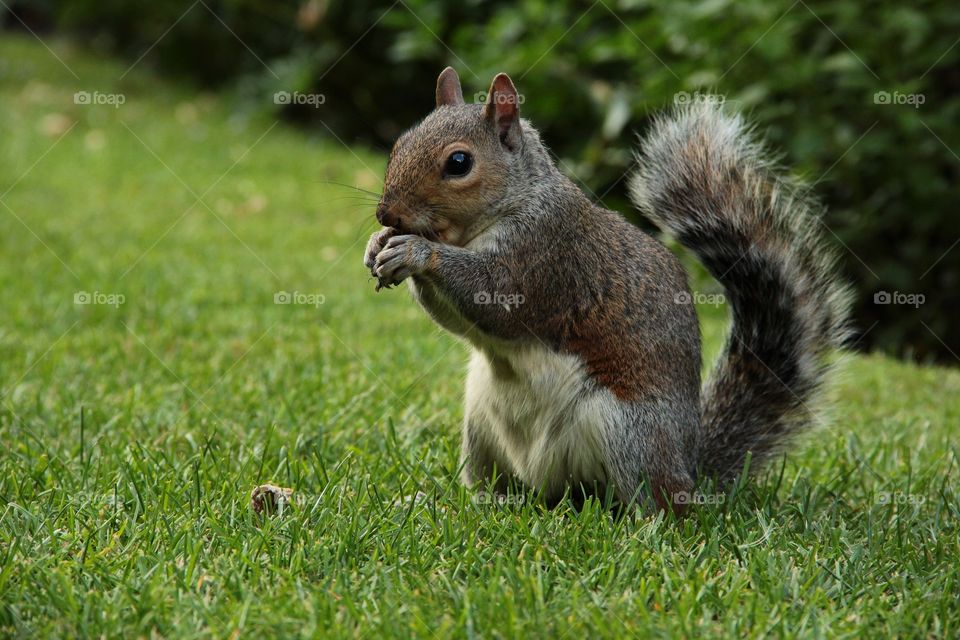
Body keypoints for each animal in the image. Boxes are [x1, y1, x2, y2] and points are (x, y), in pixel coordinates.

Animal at [360, 67, 848, 512]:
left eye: (459, 163)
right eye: (400, 143)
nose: (387, 213)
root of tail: (690, 470)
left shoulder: (545, 257)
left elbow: (494, 297)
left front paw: (417, 251)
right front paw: (379, 245)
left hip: (632, 433)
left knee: (659, 505)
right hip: (480, 428)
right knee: (506, 491)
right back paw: (465, 503)